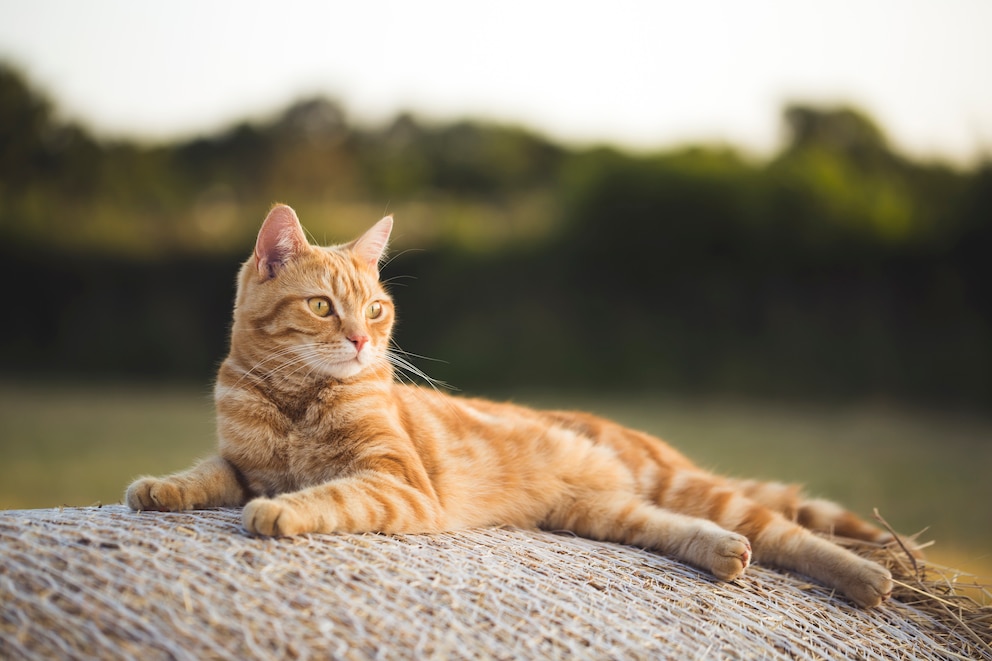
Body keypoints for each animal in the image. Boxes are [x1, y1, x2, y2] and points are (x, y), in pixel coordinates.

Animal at [128, 204, 896, 604]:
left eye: (376, 309)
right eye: (321, 307)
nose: (359, 340)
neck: (293, 401)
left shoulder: (399, 485)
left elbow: (330, 495)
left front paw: (282, 511)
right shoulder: (240, 464)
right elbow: (205, 473)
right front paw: (159, 488)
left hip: (684, 486)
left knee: (789, 532)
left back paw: (868, 579)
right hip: (605, 512)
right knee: (689, 529)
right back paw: (723, 555)